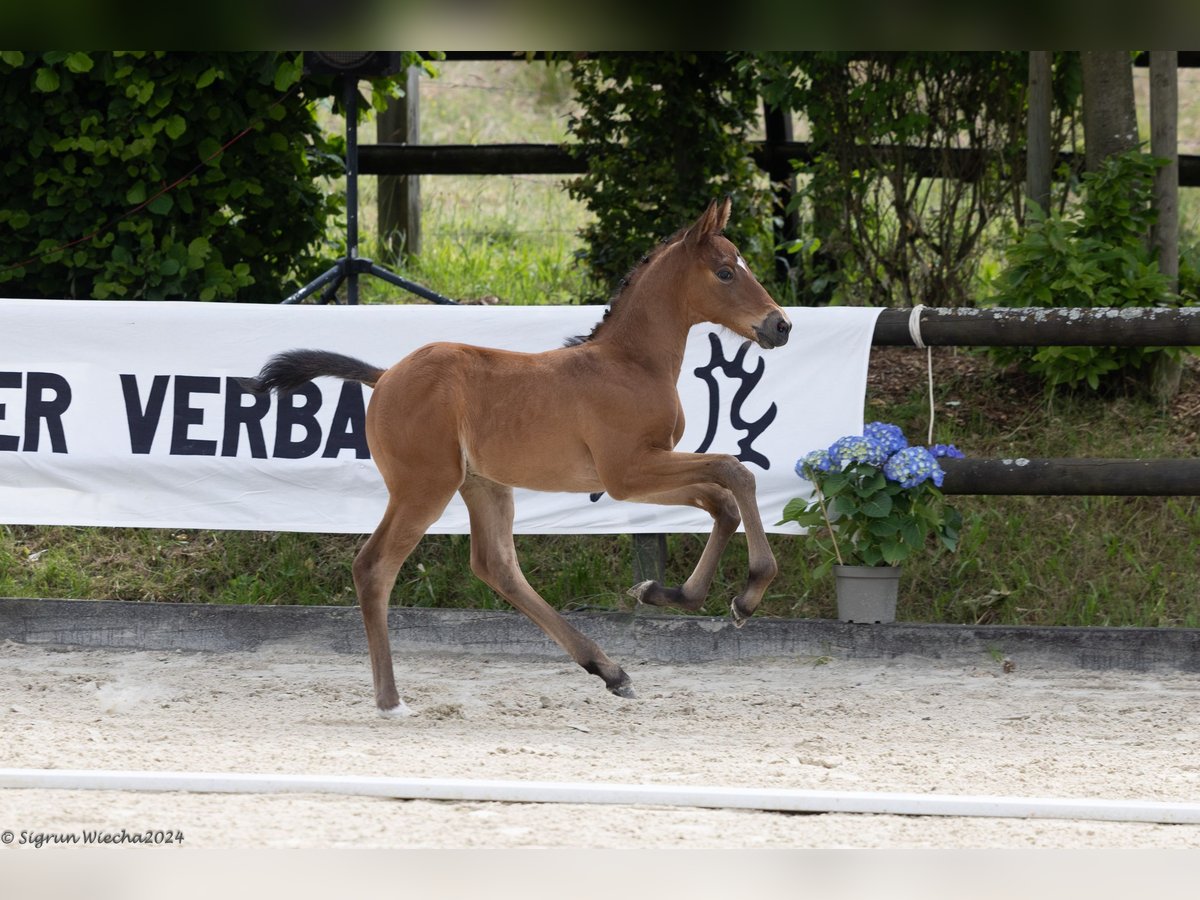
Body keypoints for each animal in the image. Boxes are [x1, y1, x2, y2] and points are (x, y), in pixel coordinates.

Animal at [240, 199, 792, 720]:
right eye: (726, 271)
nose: (781, 325)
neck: (630, 363)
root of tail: (386, 375)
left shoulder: (642, 472)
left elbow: (722, 502)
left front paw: (665, 594)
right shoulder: (627, 472)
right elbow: (735, 472)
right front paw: (747, 595)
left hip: (483, 485)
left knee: (496, 565)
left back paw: (609, 670)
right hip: (424, 487)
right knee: (374, 567)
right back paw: (391, 700)